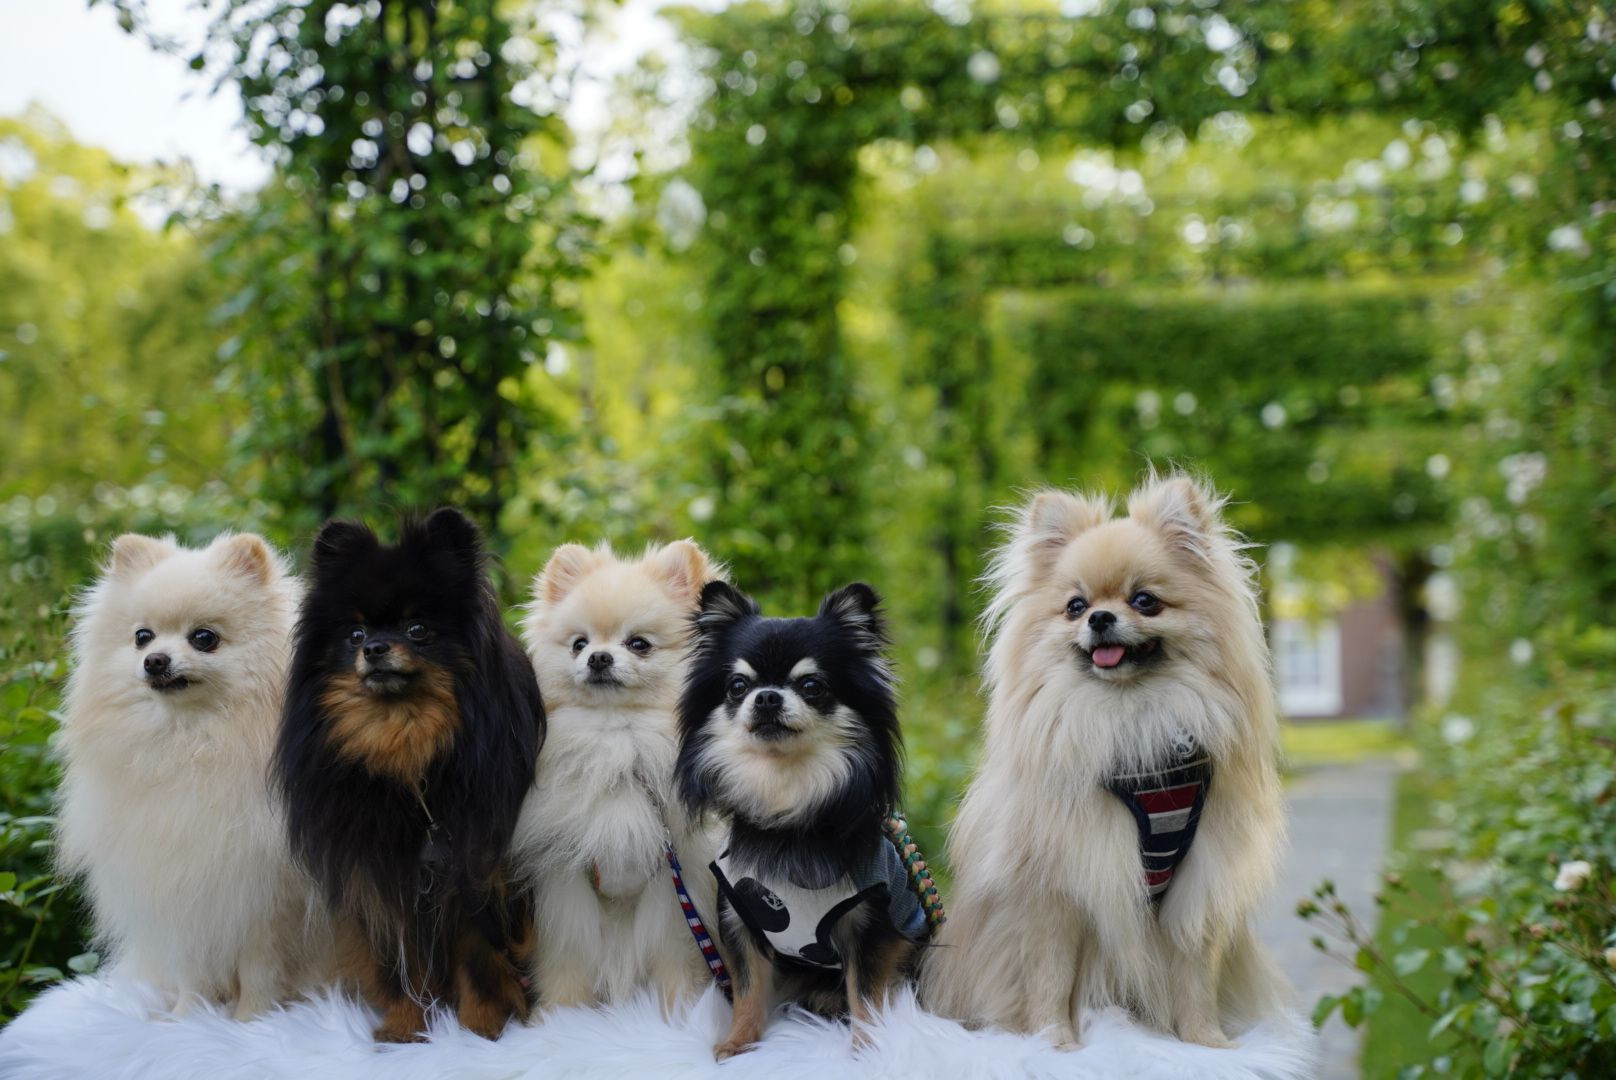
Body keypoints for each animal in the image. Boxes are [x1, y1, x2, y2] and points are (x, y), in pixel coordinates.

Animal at [56, 532, 327, 1018]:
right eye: (142, 637)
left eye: (204, 638)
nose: (156, 660)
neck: (193, 744)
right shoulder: (183, 891)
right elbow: (192, 972)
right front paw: (188, 1019)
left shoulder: (268, 900)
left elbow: (262, 970)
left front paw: (253, 1020)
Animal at [274, 508, 544, 1042]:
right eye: (355, 635)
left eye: (418, 629)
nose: (376, 648)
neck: (411, 763)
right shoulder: (382, 881)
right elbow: (399, 967)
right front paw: (403, 1028)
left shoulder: (475, 877)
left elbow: (479, 962)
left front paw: (479, 1029)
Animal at [510, 540, 728, 1011]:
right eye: (578, 644)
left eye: (639, 644)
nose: (598, 657)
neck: (617, 742)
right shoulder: (566, 878)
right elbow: (569, 952)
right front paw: (560, 1013)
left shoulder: (674, 881)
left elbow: (676, 950)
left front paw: (679, 1009)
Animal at [676, 581, 929, 1058]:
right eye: (738, 686)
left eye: (811, 685)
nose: (767, 696)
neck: (788, 809)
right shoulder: (739, 918)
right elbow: (747, 988)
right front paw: (738, 1042)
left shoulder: (871, 926)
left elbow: (865, 993)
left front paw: (868, 1048)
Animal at [921, 472, 1287, 1048]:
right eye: (1074, 605)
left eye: (1145, 600)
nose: (1099, 616)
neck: (1129, 716)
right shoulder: (1058, 888)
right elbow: (1049, 977)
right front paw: (1056, 1043)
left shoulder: (1197, 886)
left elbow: (1195, 979)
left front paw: (1207, 1044)